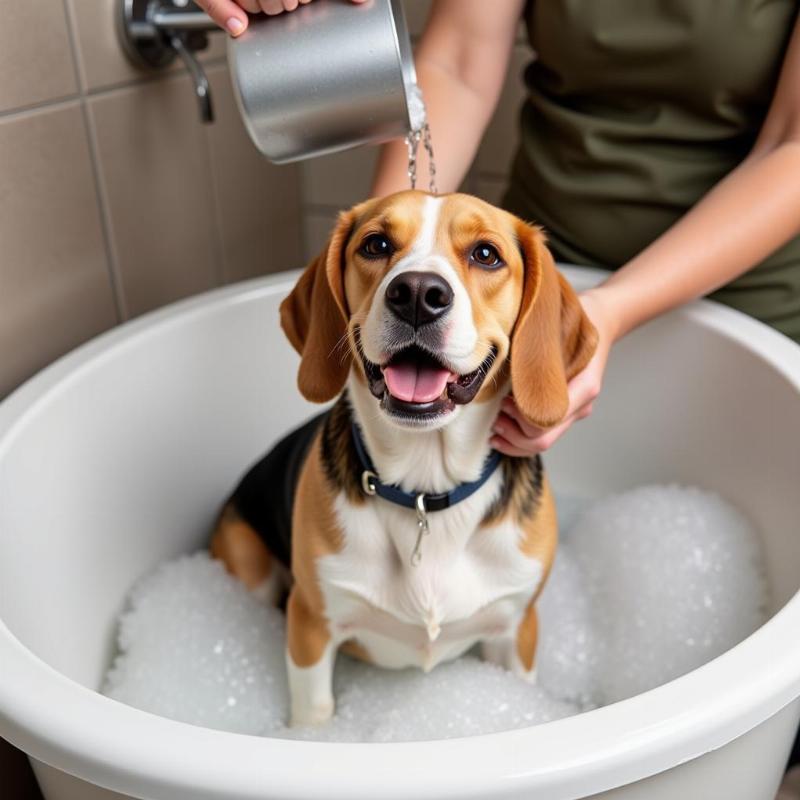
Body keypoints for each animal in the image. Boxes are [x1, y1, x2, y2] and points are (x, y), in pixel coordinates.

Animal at [209, 191, 596, 728]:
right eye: (376, 244)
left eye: (486, 254)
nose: (416, 292)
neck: (424, 489)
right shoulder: (311, 625)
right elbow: (314, 714)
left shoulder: (517, 628)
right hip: (246, 562)